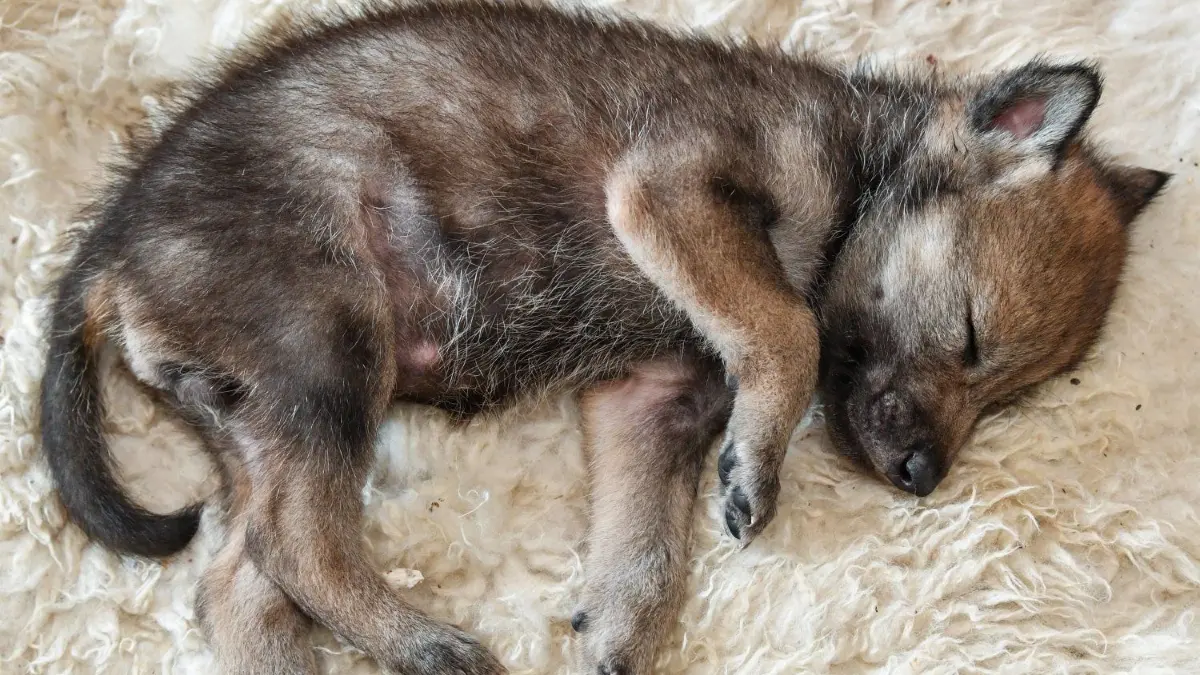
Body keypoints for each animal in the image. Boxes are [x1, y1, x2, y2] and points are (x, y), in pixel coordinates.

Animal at [37, 2, 1168, 673]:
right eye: (971, 338)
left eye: (1010, 394)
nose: (923, 476)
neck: (858, 169)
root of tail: (109, 252)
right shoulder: (670, 189)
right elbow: (790, 326)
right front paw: (758, 461)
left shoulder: (654, 396)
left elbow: (650, 553)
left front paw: (618, 632)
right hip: (324, 350)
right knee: (296, 544)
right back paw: (427, 644)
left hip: (258, 413)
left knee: (239, 581)